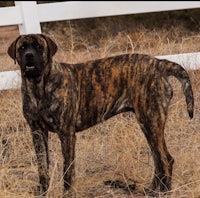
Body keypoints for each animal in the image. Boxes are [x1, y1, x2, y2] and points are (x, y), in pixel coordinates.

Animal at [7, 33, 194, 195]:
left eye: (39, 47)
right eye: (22, 47)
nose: (29, 56)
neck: (38, 86)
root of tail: (159, 63)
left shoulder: (66, 133)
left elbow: (67, 169)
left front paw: (67, 193)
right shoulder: (37, 132)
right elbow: (42, 167)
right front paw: (42, 192)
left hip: (151, 121)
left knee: (166, 159)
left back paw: (164, 192)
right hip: (148, 125)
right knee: (158, 160)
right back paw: (152, 190)